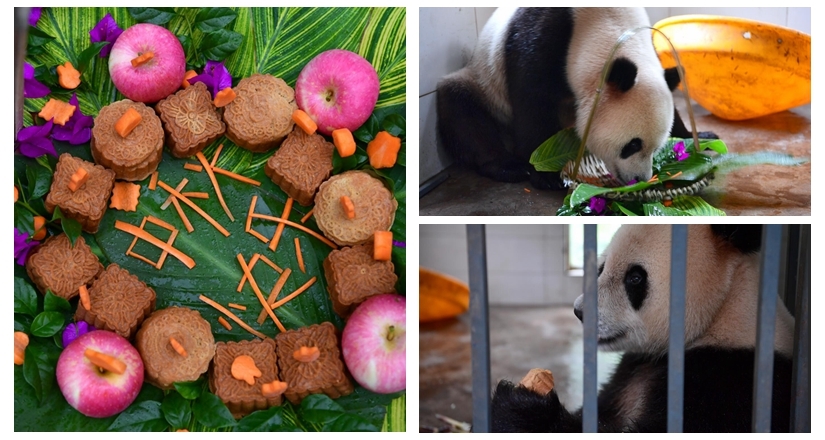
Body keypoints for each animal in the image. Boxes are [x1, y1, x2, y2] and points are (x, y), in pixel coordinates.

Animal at [434, 6, 712, 189]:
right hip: (484, 86)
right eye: (632, 145)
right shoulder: (540, 38)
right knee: (462, 110)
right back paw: (509, 166)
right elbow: (533, 103)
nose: (638, 179)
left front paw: (699, 136)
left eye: (657, 147)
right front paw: (544, 173)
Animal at [492, 225, 796, 432]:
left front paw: (521, 407)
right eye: (602, 266)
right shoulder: (631, 369)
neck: (722, 313)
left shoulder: (728, 380)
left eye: (635, 278)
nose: (580, 311)